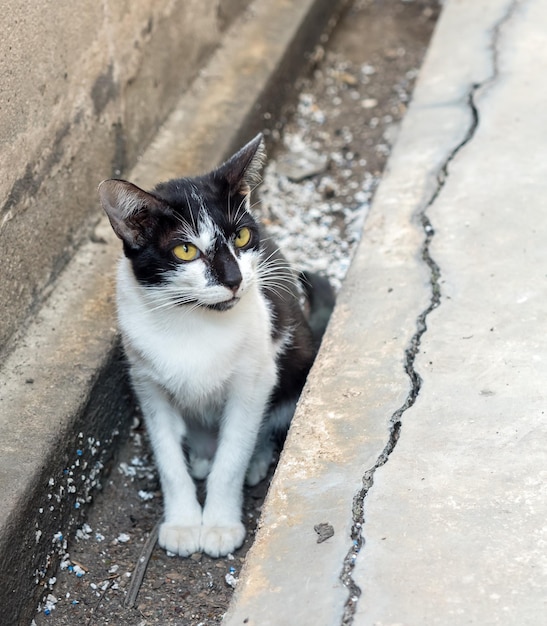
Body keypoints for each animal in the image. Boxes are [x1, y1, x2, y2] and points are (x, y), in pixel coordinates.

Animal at [98, 133, 334, 556]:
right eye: (185, 250)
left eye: (242, 236)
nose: (235, 279)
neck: (193, 319)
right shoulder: (146, 382)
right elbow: (167, 457)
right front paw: (182, 522)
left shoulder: (253, 379)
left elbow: (233, 454)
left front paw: (221, 523)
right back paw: (201, 455)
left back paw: (254, 459)